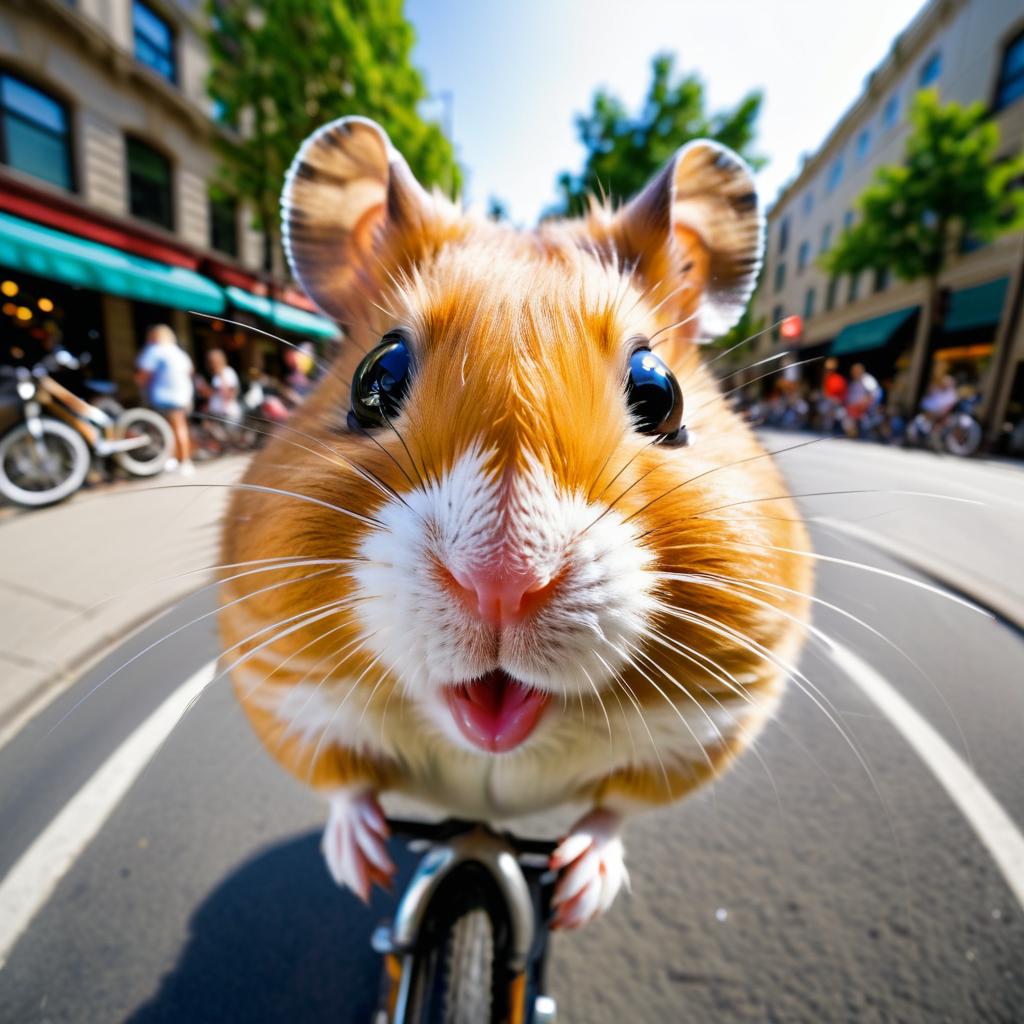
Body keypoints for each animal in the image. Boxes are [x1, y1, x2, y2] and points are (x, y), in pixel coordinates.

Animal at [220, 117, 811, 929]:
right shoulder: (281, 695)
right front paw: (359, 868)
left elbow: (613, 811)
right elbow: (345, 786)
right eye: (376, 375)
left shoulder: (707, 731)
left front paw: (579, 895)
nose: (501, 581)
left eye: (660, 393)